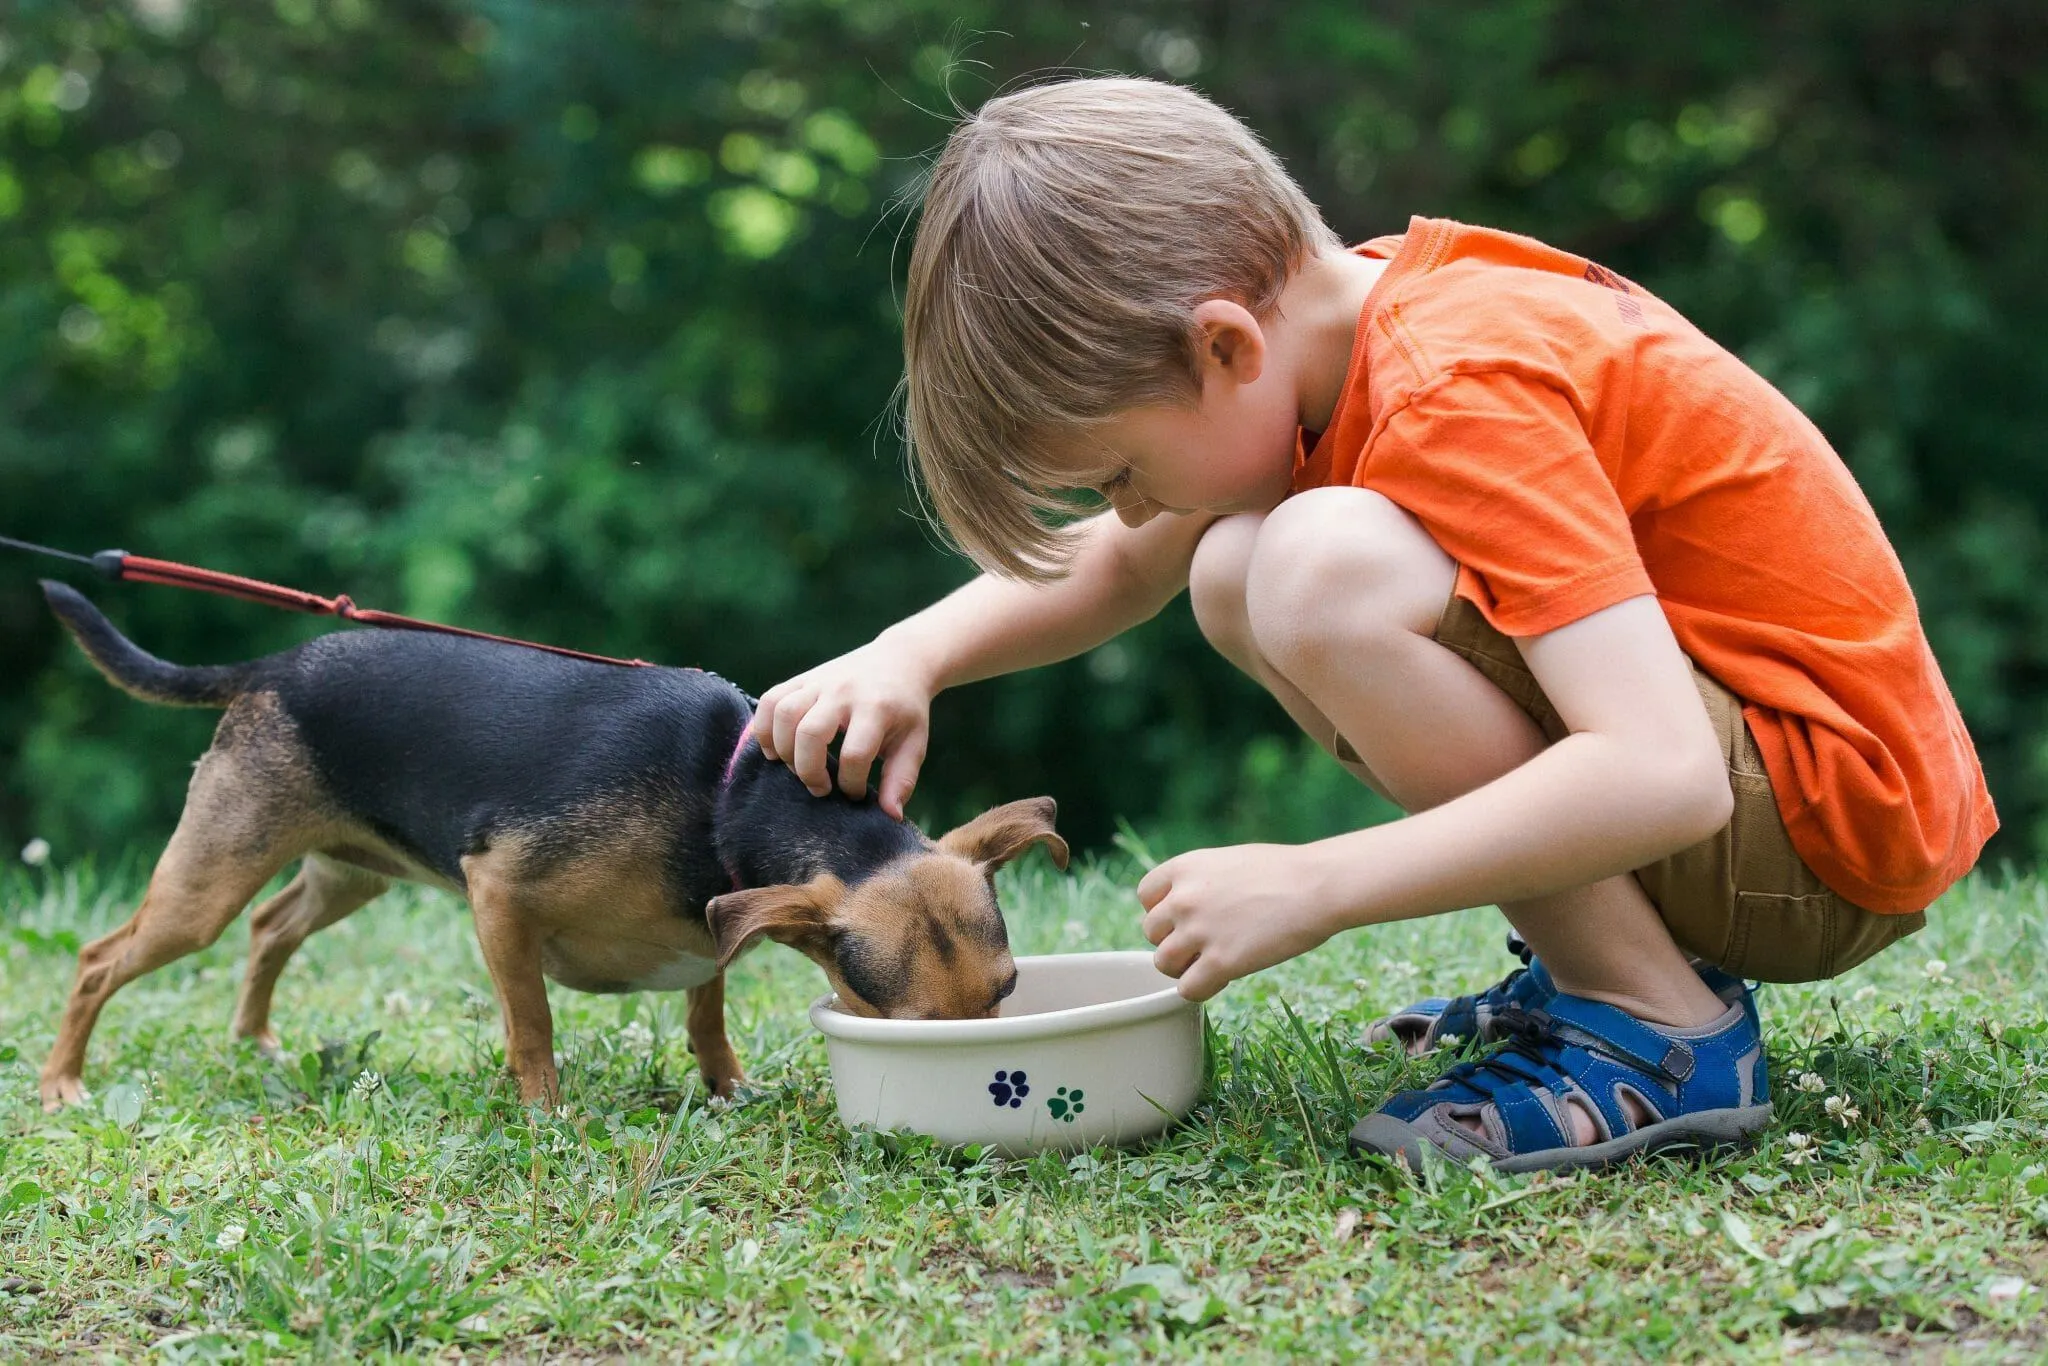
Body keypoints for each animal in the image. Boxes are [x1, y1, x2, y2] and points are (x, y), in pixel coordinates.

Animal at [36, 581, 1073, 1114]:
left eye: (1008, 993)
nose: (1001, 1079)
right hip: (206, 882)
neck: (724, 799)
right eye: (913, 1027)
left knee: (269, 928)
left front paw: (725, 1085)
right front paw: (543, 1113)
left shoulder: (711, 929)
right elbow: (530, 1021)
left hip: (348, 875)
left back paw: (252, 1039)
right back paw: (61, 1085)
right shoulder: (497, 894)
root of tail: (271, 666)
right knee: (99, 959)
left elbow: (706, 1011)